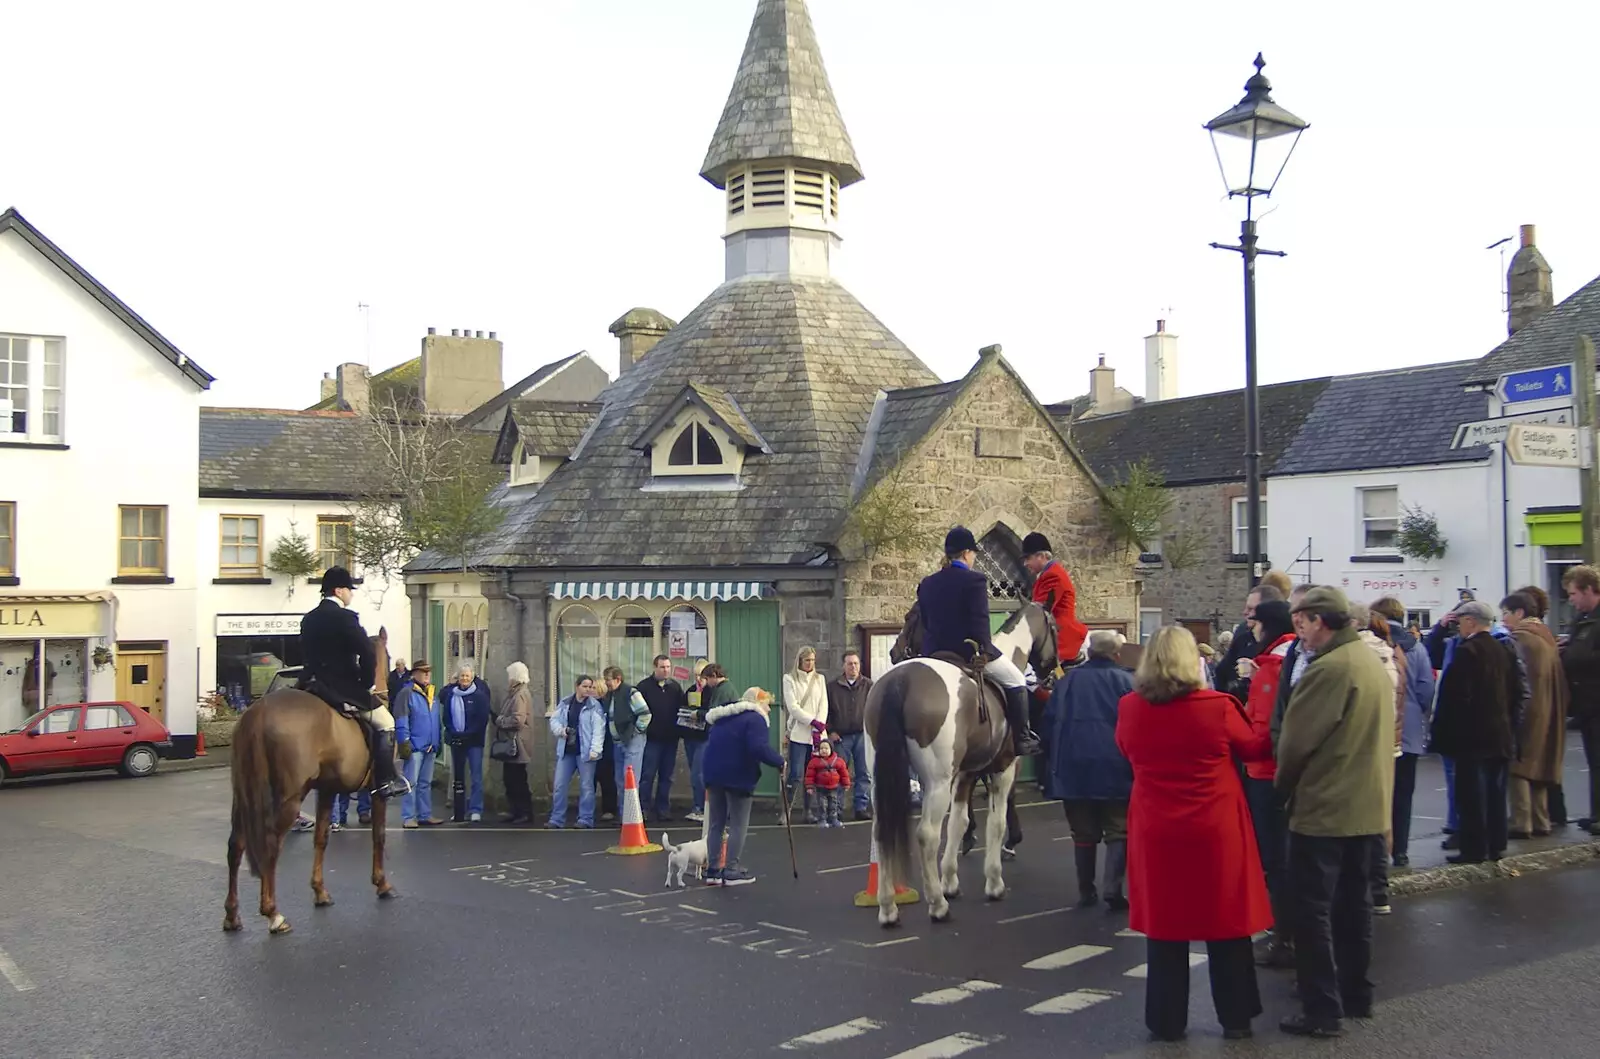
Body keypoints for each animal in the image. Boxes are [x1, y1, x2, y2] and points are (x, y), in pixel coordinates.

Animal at [224, 627, 398, 934]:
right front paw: (382, 883)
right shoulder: (377, 791)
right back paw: (273, 914)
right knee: (271, 843)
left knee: (236, 846)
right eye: (387, 656)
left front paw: (320, 891)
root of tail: (258, 712)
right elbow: (378, 835)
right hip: (289, 797)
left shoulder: (327, 790)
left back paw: (233, 916)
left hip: (243, 797)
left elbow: (321, 837)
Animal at [864, 604, 1062, 927]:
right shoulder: (1003, 770)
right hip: (937, 782)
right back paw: (937, 906)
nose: (1054, 670)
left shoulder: (966, 776)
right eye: (1055, 627)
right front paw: (994, 883)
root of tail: (900, 680)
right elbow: (996, 823)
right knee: (927, 835)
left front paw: (951, 881)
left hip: (881, 779)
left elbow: (959, 822)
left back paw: (888, 907)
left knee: (881, 831)